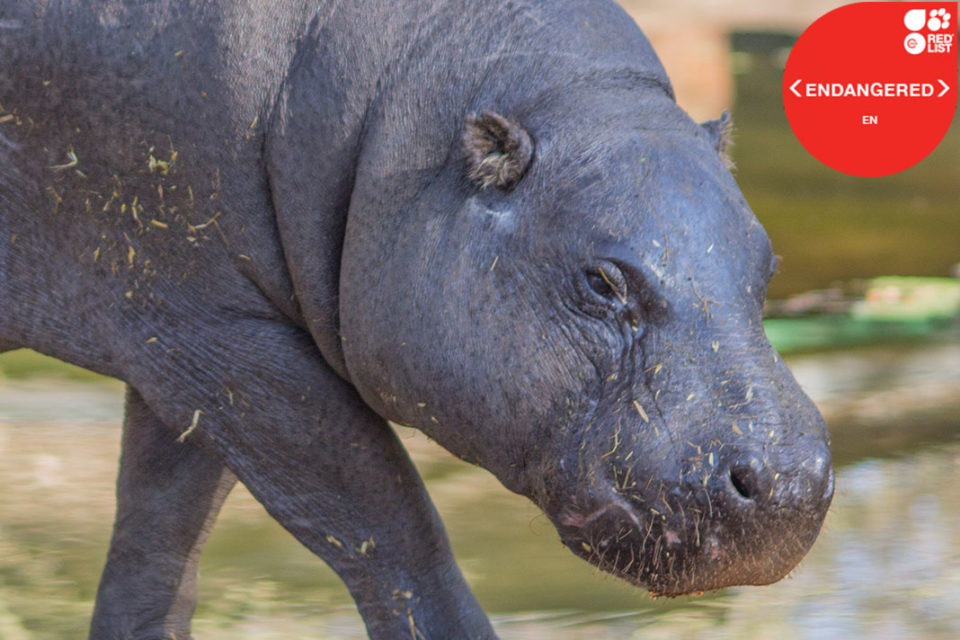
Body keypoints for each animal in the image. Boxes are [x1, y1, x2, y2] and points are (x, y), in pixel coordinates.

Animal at [0, 0, 834, 638]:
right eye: (599, 281)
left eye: (767, 265)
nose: (790, 483)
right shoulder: (232, 349)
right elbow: (397, 536)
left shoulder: (189, 338)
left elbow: (158, 546)